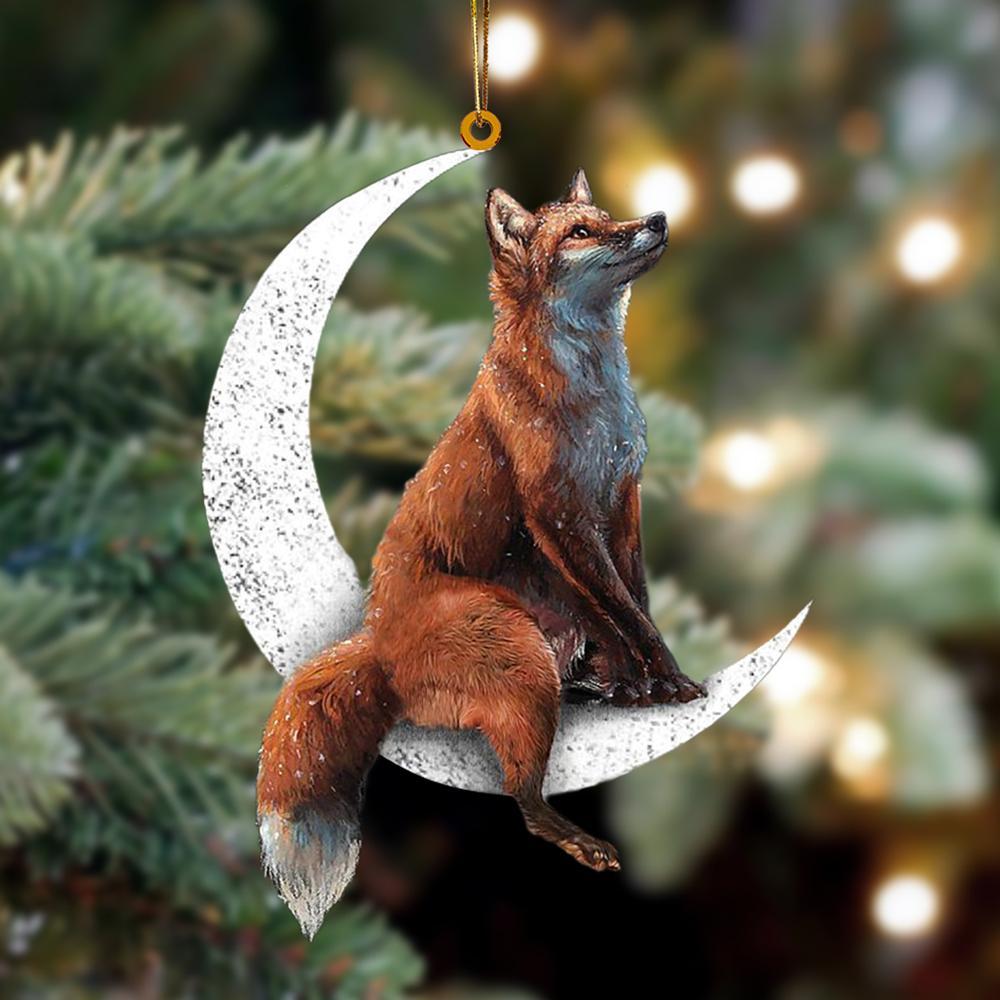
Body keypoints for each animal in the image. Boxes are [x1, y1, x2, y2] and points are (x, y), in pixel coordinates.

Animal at [257, 169, 706, 937]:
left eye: (607, 214)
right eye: (581, 232)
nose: (656, 219)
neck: (595, 407)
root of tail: (382, 646)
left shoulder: (622, 502)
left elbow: (636, 602)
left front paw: (640, 687)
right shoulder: (560, 516)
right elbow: (627, 612)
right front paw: (668, 682)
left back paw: (598, 690)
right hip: (519, 656)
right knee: (524, 802)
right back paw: (582, 839)